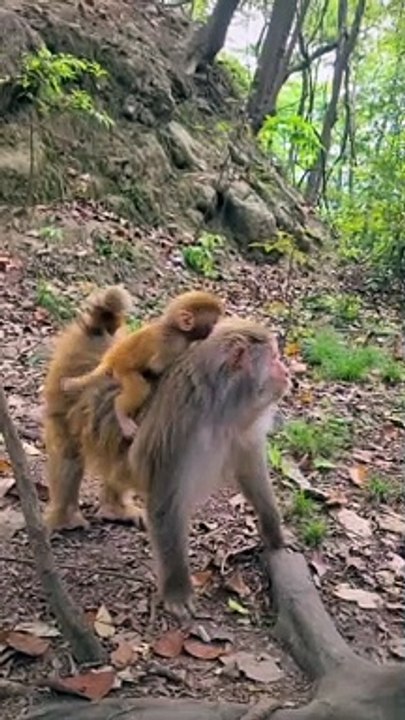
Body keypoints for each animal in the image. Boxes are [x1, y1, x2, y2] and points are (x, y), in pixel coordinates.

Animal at [61, 290, 224, 439]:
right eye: (213, 323)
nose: (213, 330)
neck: (174, 328)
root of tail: (111, 358)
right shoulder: (172, 344)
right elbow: (156, 366)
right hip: (123, 371)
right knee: (140, 387)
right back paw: (121, 411)